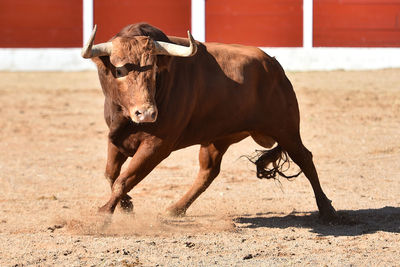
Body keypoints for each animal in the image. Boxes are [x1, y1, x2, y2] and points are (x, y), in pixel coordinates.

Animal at [81, 23, 338, 223]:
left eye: (154, 70)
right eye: (119, 70)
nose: (146, 114)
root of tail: (274, 65)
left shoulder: (157, 146)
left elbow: (123, 179)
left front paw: (104, 213)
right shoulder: (115, 137)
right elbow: (111, 174)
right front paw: (126, 205)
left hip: (286, 128)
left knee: (305, 158)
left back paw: (327, 210)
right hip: (219, 137)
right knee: (209, 171)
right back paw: (176, 209)